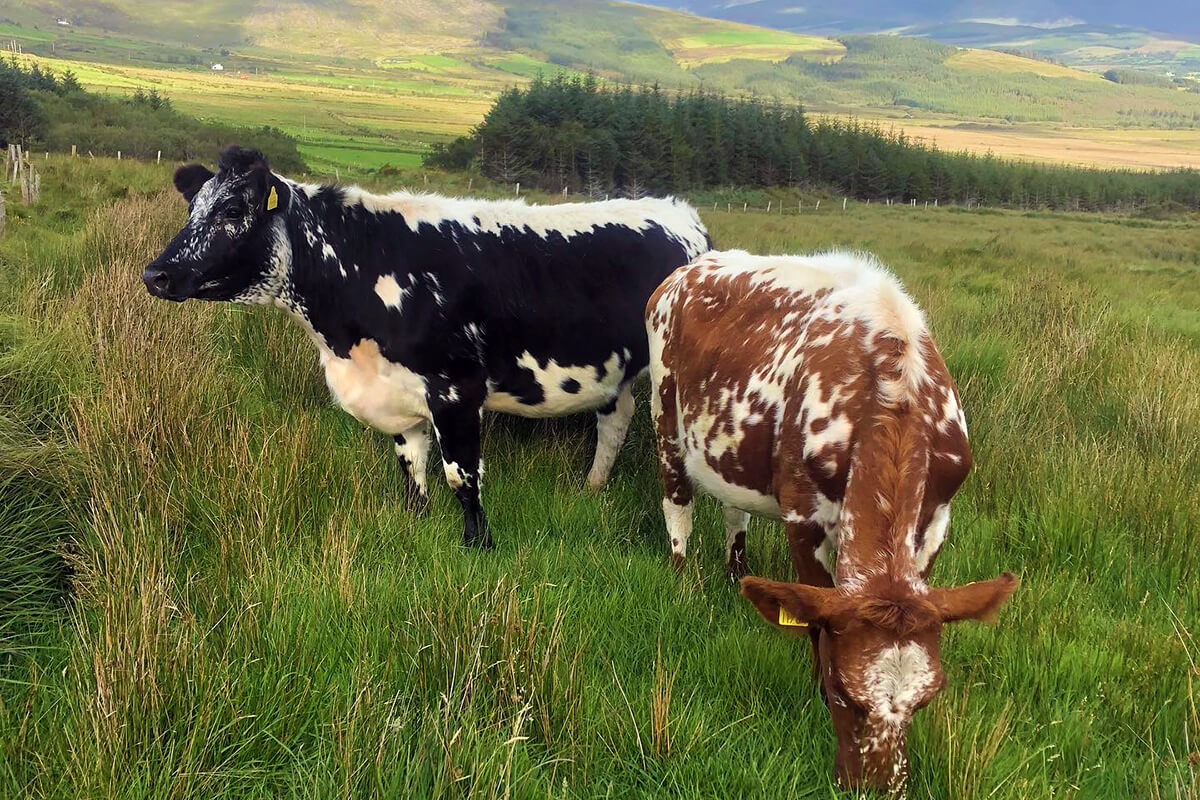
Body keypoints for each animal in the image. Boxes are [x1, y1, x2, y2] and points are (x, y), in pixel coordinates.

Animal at [143, 146, 710, 549]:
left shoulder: (456, 389)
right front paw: (418, 520)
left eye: (232, 209)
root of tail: (677, 209)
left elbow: (462, 476)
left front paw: (478, 545)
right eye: (193, 207)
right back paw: (592, 486)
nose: (156, 274)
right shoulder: (397, 391)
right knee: (615, 418)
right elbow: (411, 465)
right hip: (615, 368)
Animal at [646, 249, 1017, 791]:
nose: (878, 788)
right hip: (665, 415)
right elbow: (814, 620)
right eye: (843, 690)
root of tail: (697, 265)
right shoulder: (803, 517)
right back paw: (680, 574)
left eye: (928, 698)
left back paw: (736, 571)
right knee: (677, 501)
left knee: (733, 509)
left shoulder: (934, 525)